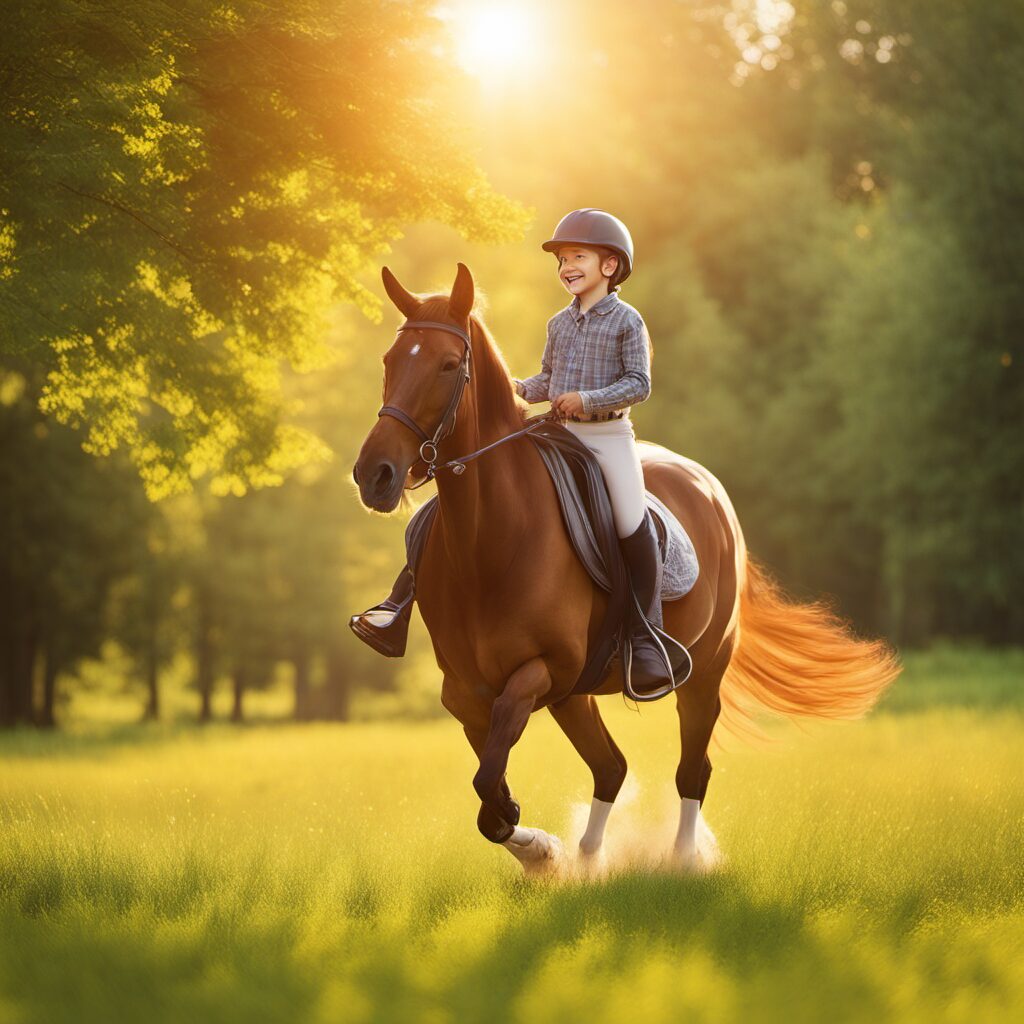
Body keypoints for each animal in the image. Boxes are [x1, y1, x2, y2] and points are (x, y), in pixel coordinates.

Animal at [352, 262, 901, 872]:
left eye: (449, 365)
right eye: (389, 361)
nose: (374, 475)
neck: (488, 542)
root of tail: (710, 488)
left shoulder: (543, 672)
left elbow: (490, 788)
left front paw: (541, 850)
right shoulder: (469, 691)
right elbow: (491, 798)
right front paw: (542, 853)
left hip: (702, 673)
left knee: (692, 770)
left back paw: (683, 859)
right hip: (577, 697)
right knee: (610, 767)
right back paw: (590, 859)